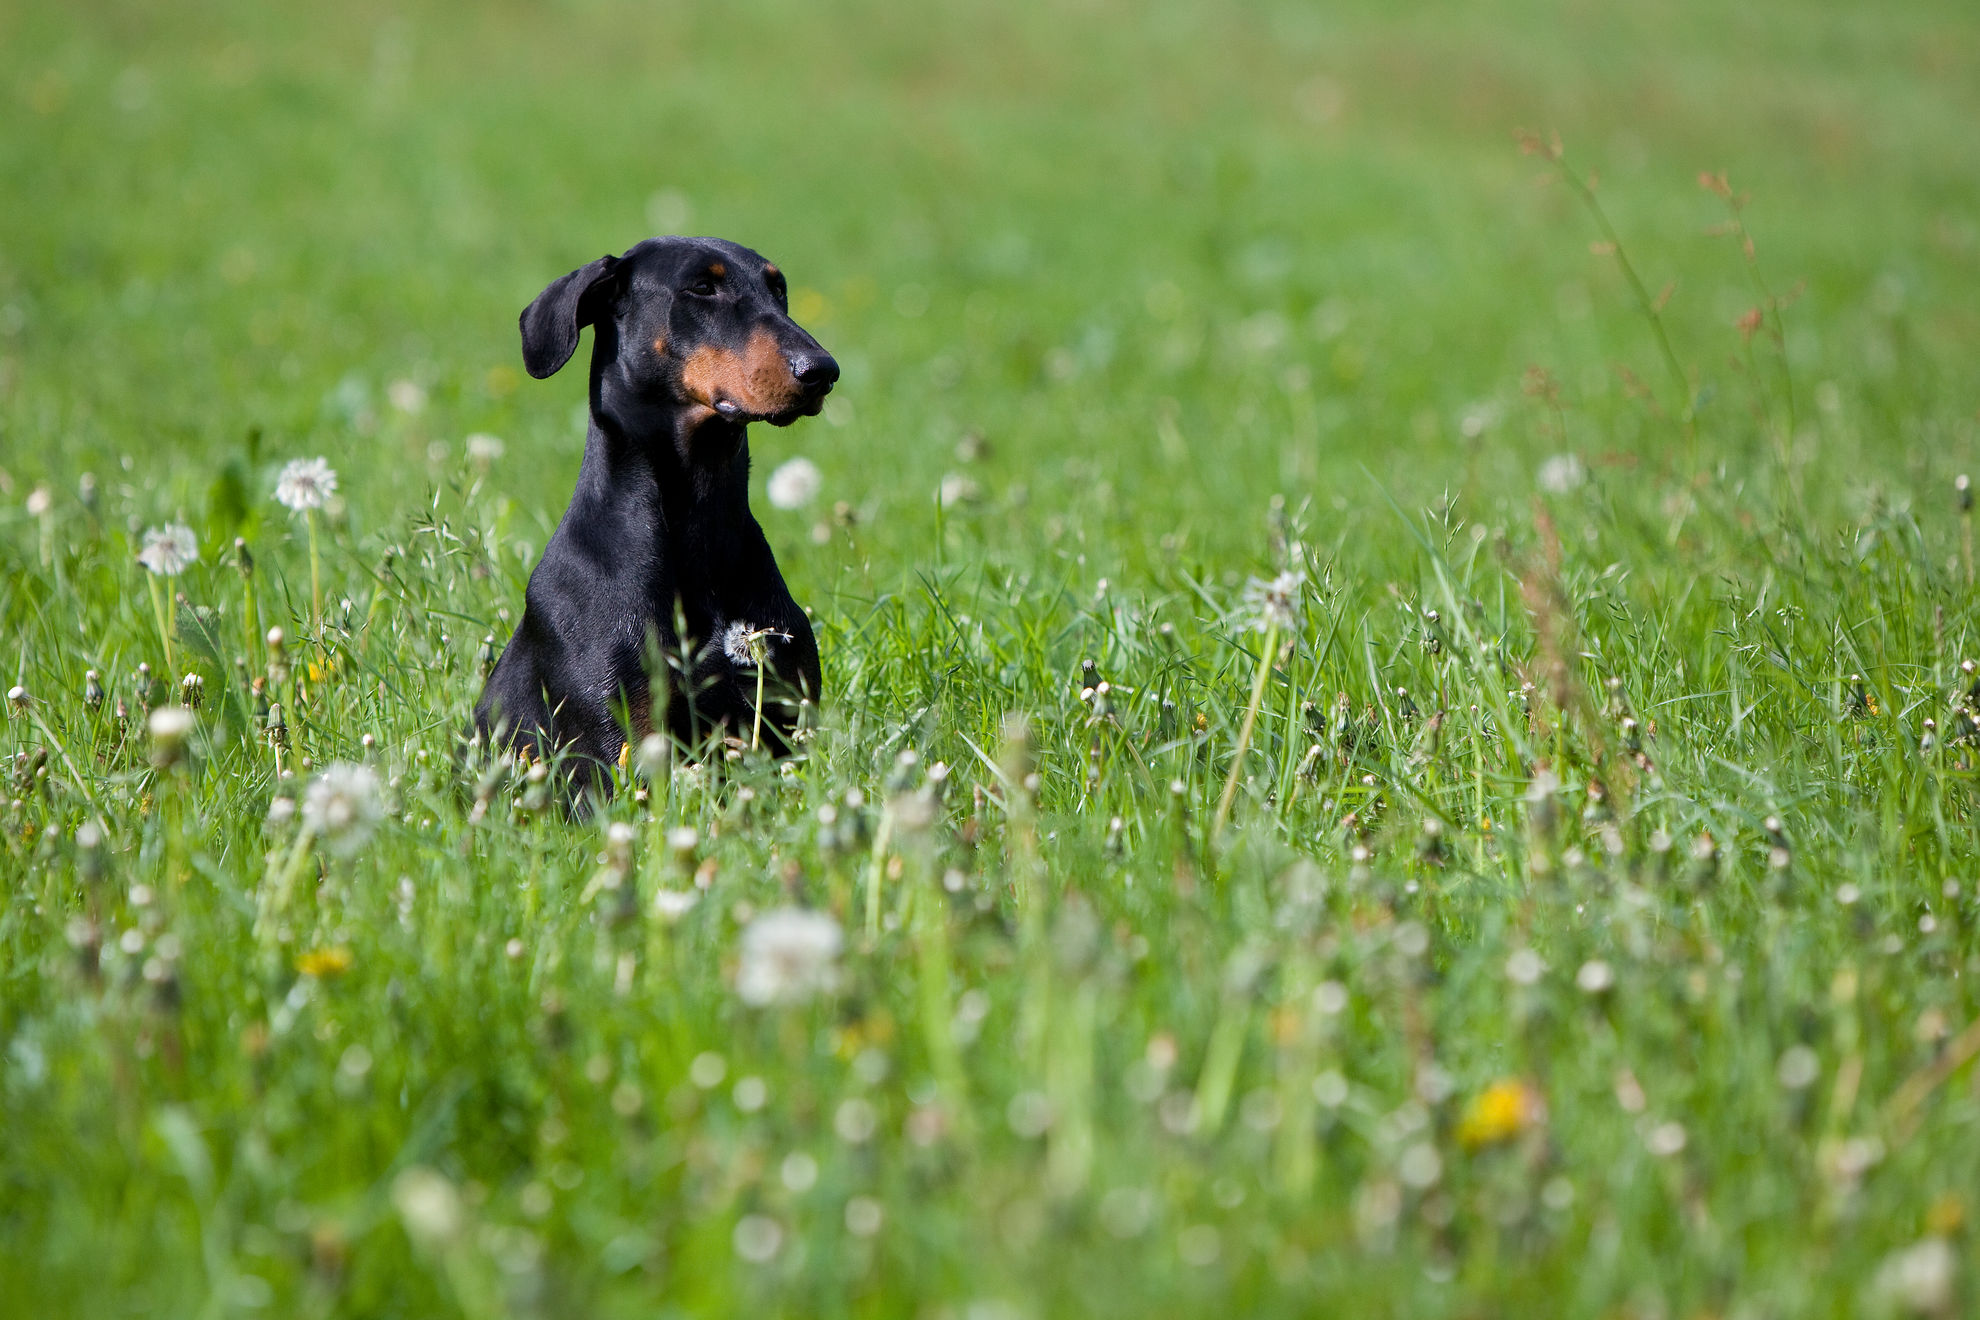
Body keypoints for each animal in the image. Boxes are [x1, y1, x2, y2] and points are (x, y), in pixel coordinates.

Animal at [477, 234, 835, 783]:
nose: (823, 371)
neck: (701, 524)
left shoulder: (783, 721)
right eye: (702, 287)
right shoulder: (622, 740)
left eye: (779, 289)